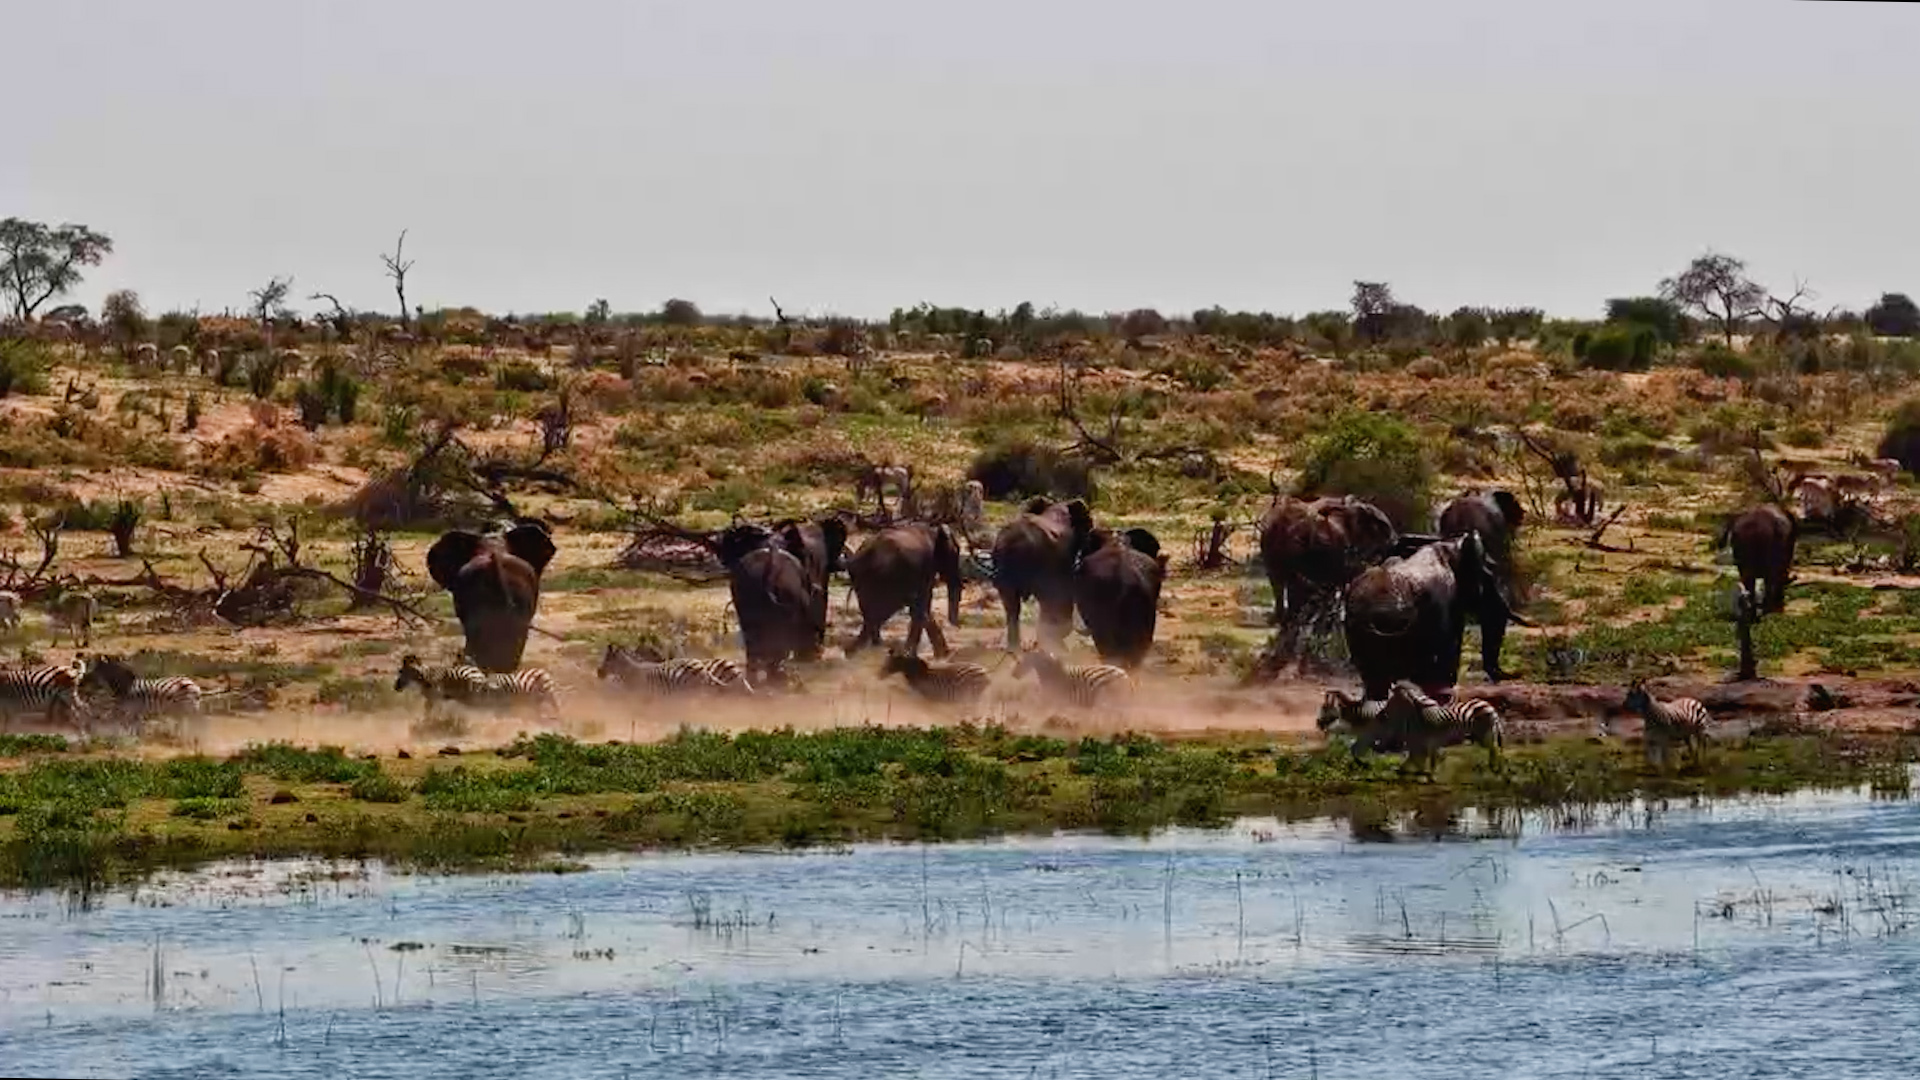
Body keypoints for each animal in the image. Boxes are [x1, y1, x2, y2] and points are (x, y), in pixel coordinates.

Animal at [845, 522, 964, 657]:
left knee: (873, 613)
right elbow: (923, 602)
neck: (933, 531)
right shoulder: (927, 565)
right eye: (956, 553)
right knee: (880, 611)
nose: (956, 626)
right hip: (887, 577)